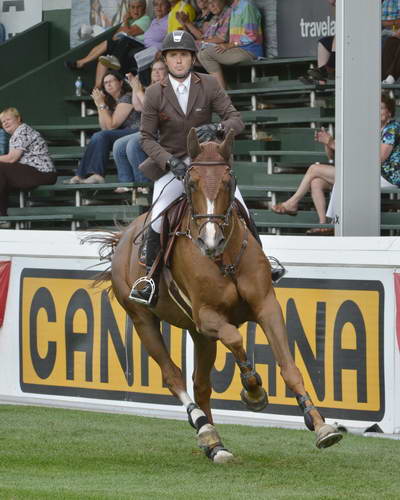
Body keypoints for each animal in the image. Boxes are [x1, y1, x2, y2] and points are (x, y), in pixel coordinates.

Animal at [95, 127, 342, 462]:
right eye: (191, 182)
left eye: (228, 181)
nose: (210, 241)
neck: (223, 259)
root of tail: (122, 239)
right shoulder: (209, 317)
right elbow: (236, 339)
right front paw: (253, 391)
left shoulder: (266, 307)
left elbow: (289, 366)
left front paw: (319, 425)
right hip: (143, 320)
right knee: (173, 376)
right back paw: (204, 428)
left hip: (200, 336)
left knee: (200, 385)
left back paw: (215, 445)